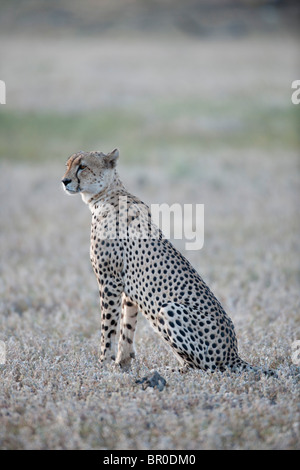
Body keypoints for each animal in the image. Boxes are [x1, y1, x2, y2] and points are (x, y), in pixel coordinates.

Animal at [62, 149, 274, 376]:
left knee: (203, 368)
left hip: (169, 309)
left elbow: (108, 329)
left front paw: (102, 366)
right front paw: (122, 365)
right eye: (68, 165)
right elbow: (127, 330)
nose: (65, 181)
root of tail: (233, 355)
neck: (107, 194)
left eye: (83, 166)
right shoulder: (128, 291)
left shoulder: (109, 281)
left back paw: (166, 370)